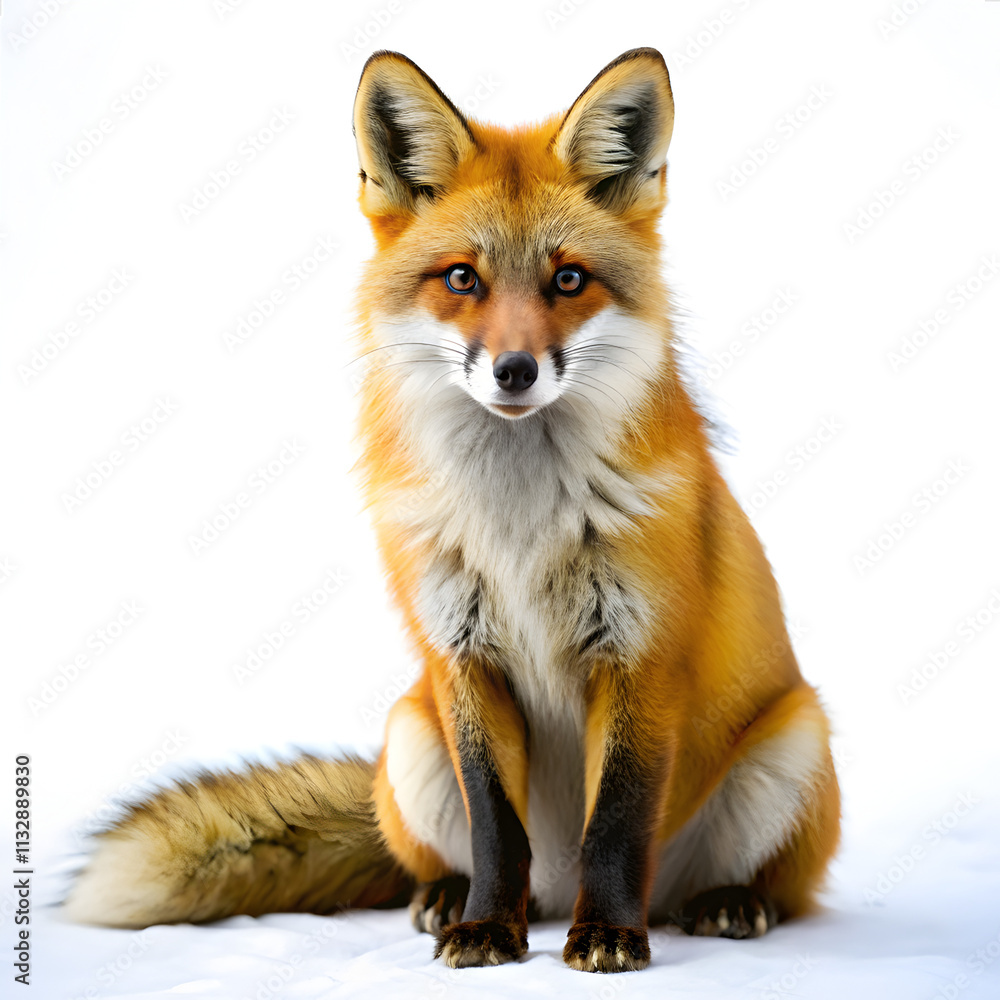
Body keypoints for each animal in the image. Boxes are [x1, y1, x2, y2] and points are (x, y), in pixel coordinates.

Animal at [65, 47, 841, 973]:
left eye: (567, 279)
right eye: (463, 278)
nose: (514, 370)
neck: (520, 527)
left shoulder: (642, 657)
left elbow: (616, 827)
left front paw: (610, 935)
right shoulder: (462, 658)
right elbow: (495, 828)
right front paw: (487, 931)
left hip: (794, 742)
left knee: (758, 886)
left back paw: (724, 901)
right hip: (409, 733)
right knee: (471, 861)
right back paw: (451, 902)